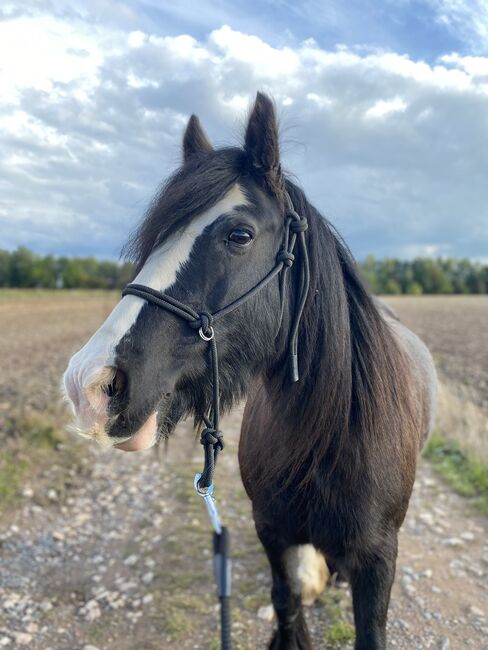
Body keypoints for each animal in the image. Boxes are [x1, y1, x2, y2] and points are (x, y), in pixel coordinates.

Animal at [62, 92, 438, 648]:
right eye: (155, 238)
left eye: (239, 234)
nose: (89, 384)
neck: (328, 438)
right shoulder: (273, 534)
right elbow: (286, 604)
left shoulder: (377, 561)